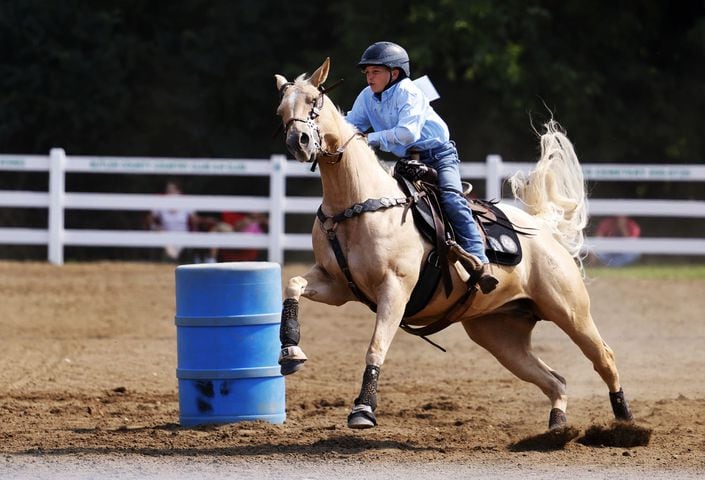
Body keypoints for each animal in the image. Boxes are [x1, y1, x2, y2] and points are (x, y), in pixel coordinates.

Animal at [274, 57, 632, 432]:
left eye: (314, 101)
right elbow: (293, 284)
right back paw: (557, 425)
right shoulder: (338, 285)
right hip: (499, 334)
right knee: (554, 380)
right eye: (281, 110)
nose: (299, 141)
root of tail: (544, 229)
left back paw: (624, 418)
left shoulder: (394, 289)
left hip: (570, 311)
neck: (355, 204)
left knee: (603, 357)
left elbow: (376, 346)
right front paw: (290, 352)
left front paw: (363, 409)